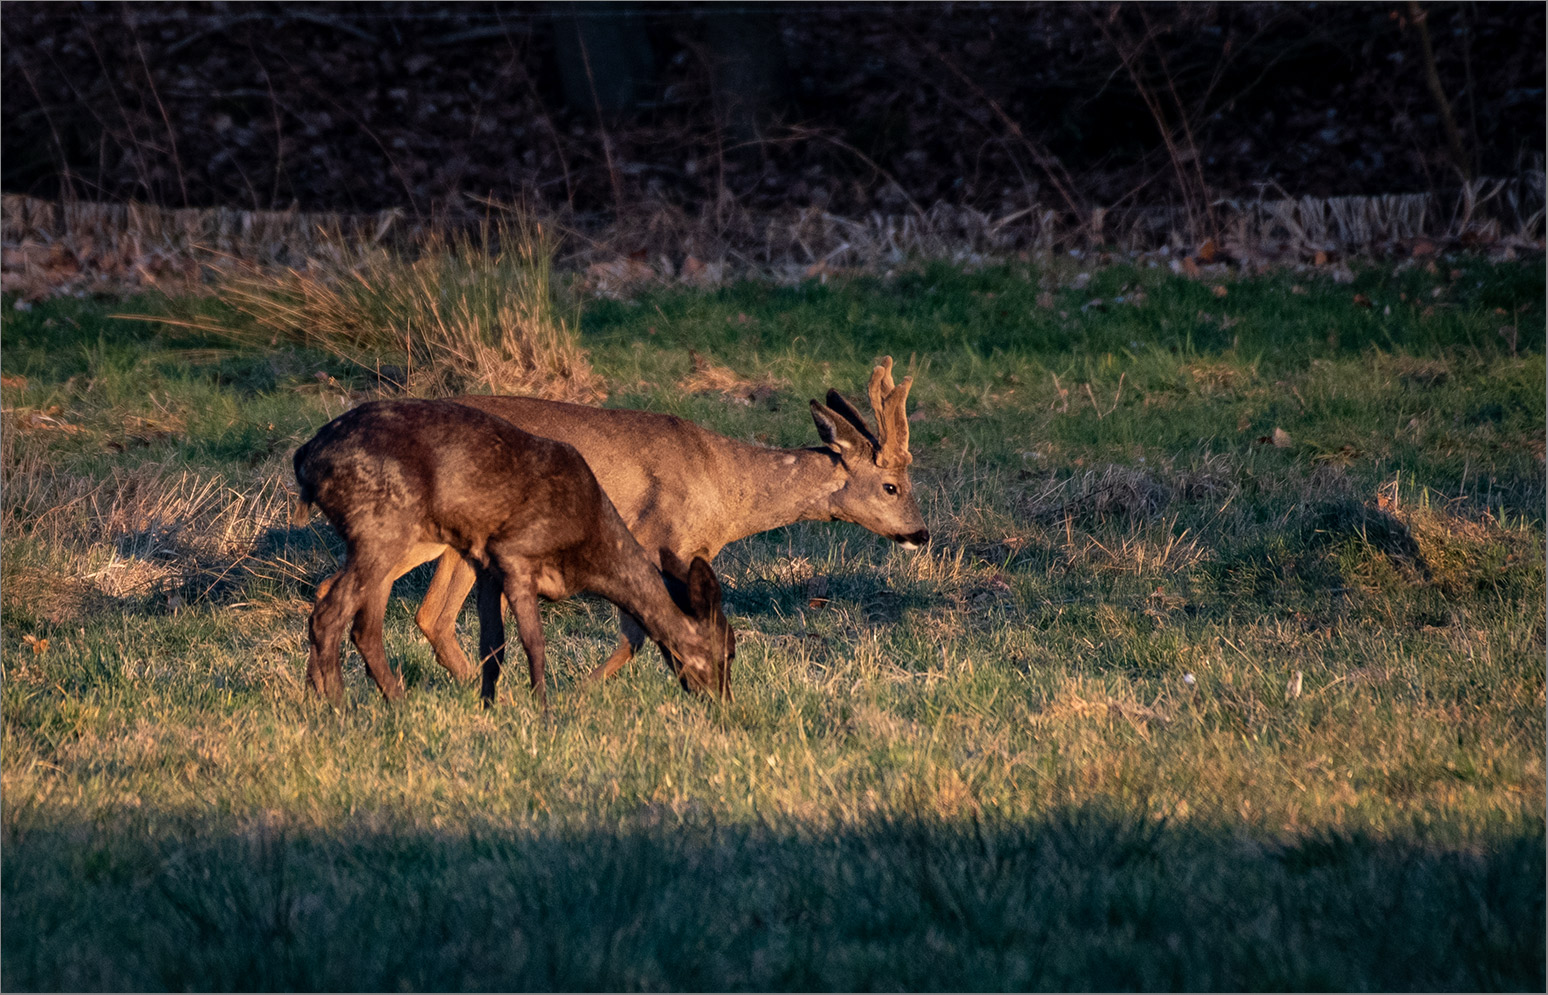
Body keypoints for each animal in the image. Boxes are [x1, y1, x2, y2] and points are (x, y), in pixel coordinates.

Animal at [291, 399, 736, 708]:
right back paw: (341, 708)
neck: (587, 545)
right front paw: (543, 713)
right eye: (728, 652)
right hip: (382, 527)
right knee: (332, 612)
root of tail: (306, 456)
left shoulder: (486, 566)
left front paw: (490, 707)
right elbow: (533, 642)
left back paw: (366, 701)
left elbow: (494, 645)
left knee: (361, 625)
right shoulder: (517, 555)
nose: (724, 704)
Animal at [360, 355, 922, 683]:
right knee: (411, 604)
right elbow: (638, 632)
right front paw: (585, 692)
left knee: (427, 613)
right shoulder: (660, 540)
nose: (921, 532)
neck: (727, 489)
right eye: (892, 486)